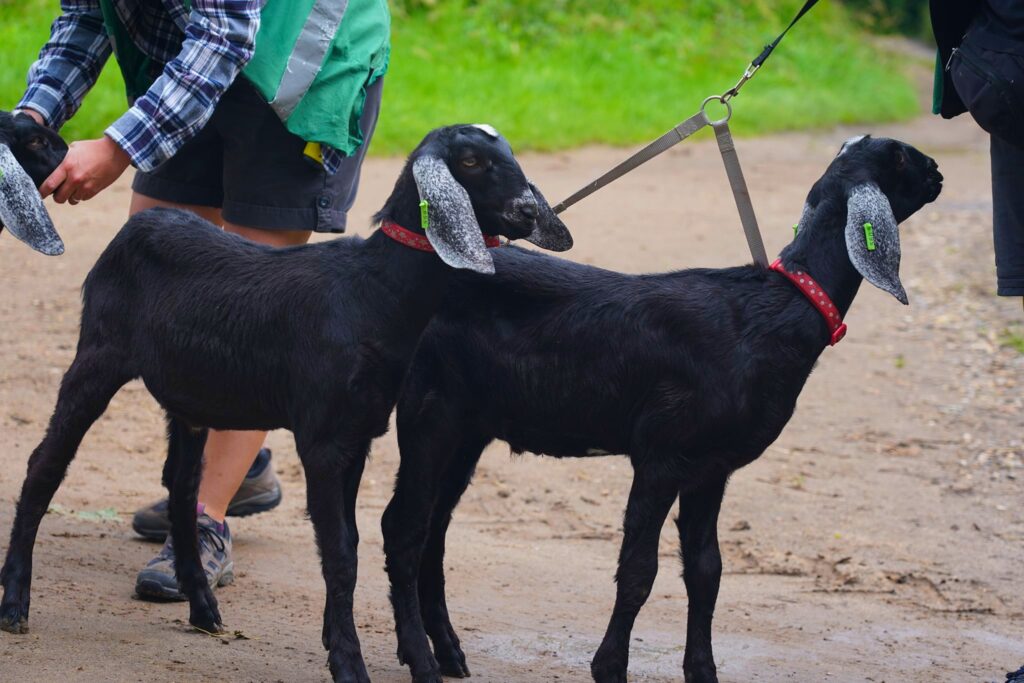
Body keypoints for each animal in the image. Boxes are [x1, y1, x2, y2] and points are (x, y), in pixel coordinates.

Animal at [382, 135, 942, 683]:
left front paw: (702, 671)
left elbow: (706, 570)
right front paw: (609, 667)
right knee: (403, 526)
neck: (773, 313)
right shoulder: (662, 454)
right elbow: (638, 571)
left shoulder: (712, 466)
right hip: (428, 411)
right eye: (899, 157)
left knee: (433, 526)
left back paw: (448, 651)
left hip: (468, 427)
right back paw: (422, 659)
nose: (937, 171)